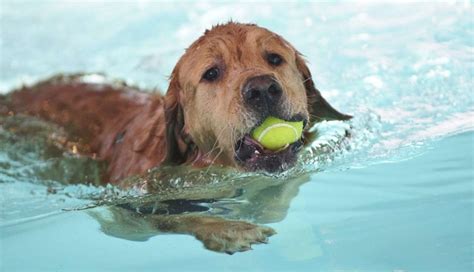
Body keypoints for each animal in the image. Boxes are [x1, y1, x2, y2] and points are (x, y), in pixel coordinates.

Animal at [1, 22, 350, 254]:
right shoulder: (125, 210)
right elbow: (178, 217)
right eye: (212, 73)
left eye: (275, 59)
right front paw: (229, 229)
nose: (262, 89)